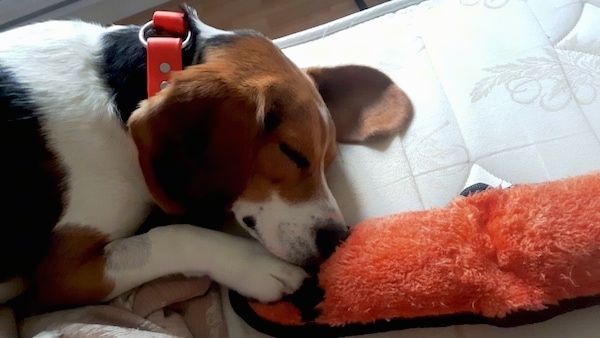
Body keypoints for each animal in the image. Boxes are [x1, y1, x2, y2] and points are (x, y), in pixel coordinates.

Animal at [0, 5, 410, 308]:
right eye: (292, 153)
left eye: (329, 161)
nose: (337, 240)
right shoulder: (61, 275)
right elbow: (173, 236)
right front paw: (258, 267)